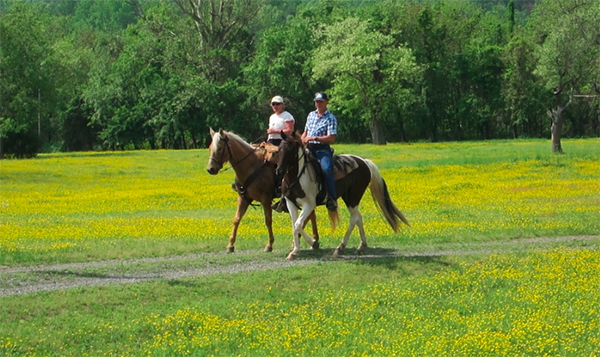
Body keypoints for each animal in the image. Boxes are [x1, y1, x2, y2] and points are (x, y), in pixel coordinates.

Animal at [274, 131, 410, 258]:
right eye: (279, 149)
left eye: (291, 150)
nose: (279, 171)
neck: (298, 176)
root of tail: (364, 162)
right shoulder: (290, 202)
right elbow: (295, 225)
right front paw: (296, 250)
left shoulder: (309, 204)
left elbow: (298, 224)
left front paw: (310, 245)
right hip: (348, 197)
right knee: (358, 217)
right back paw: (361, 246)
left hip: (353, 197)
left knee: (354, 218)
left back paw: (340, 247)